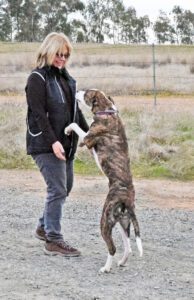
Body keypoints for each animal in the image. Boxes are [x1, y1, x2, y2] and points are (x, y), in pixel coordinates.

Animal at [65, 88, 142, 272]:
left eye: (86, 92)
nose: (77, 90)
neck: (107, 111)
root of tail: (127, 201)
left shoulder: (87, 139)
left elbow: (75, 125)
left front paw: (67, 129)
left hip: (105, 221)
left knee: (112, 247)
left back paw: (106, 268)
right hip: (123, 221)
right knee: (128, 246)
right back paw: (121, 262)